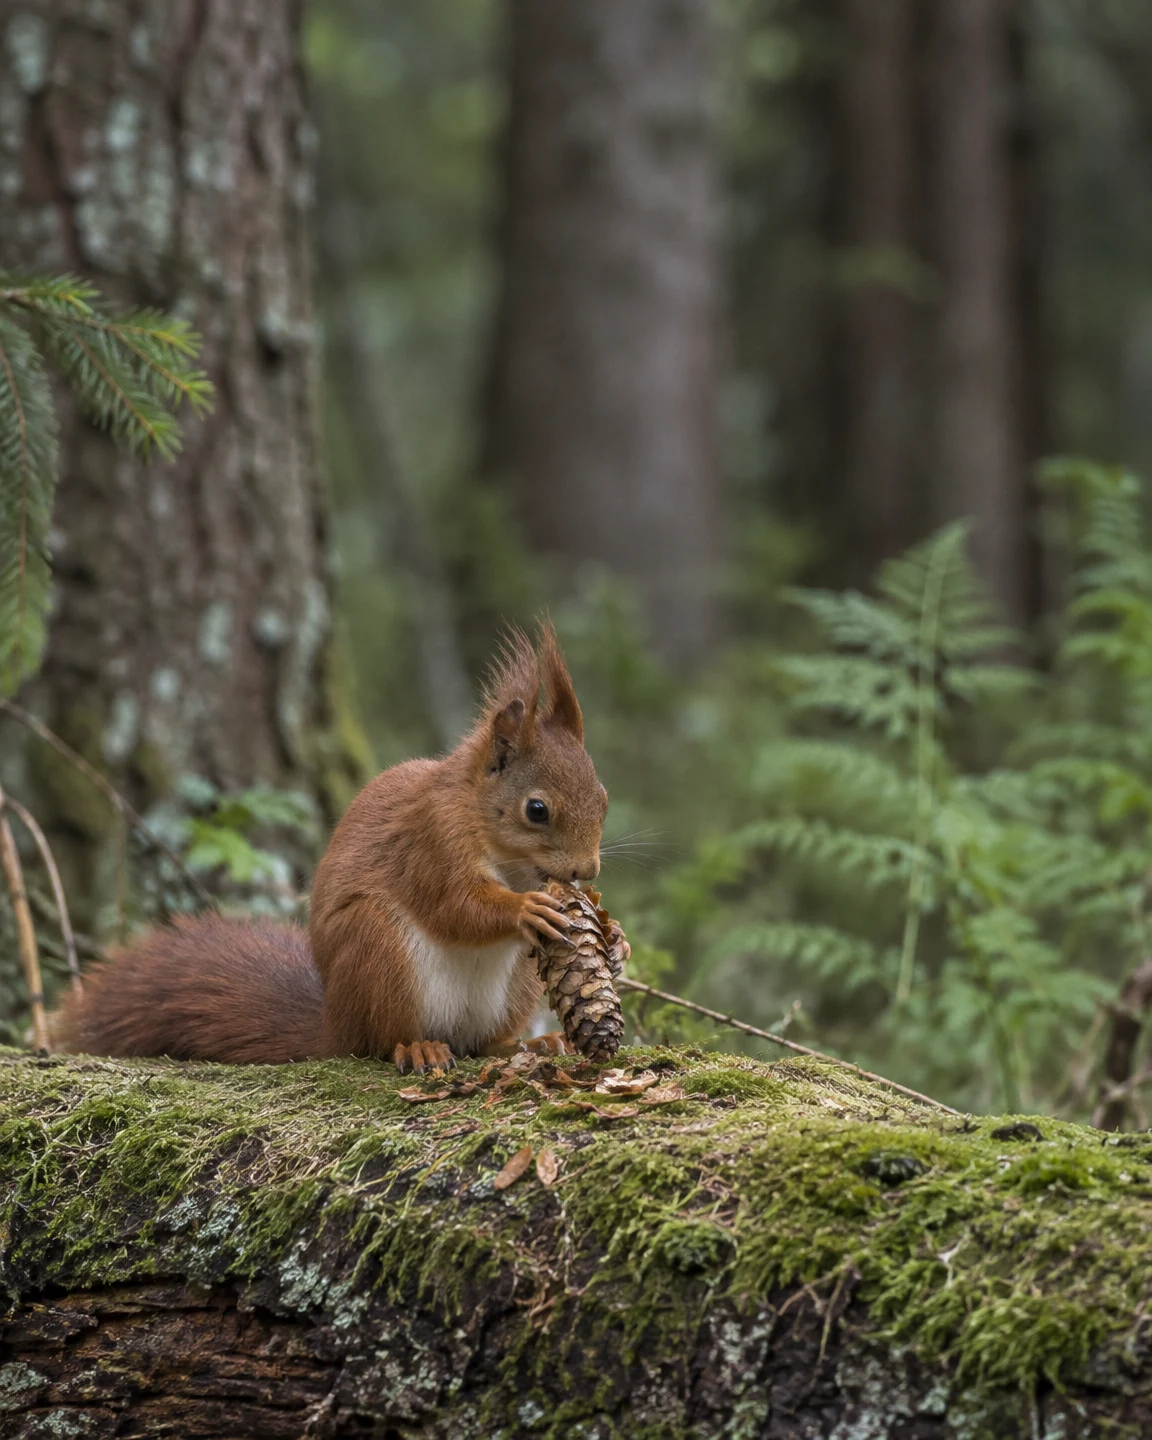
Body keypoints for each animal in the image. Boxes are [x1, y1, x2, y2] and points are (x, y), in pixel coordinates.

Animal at [57, 625, 624, 1074]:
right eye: (537, 810)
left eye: (603, 797)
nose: (587, 869)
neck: (504, 850)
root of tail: (335, 1024)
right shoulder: (430, 840)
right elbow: (455, 905)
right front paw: (526, 909)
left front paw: (614, 937)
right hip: (377, 950)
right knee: (381, 1041)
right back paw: (418, 1049)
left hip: (515, 985)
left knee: (484, 1043)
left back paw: (532, 1044)